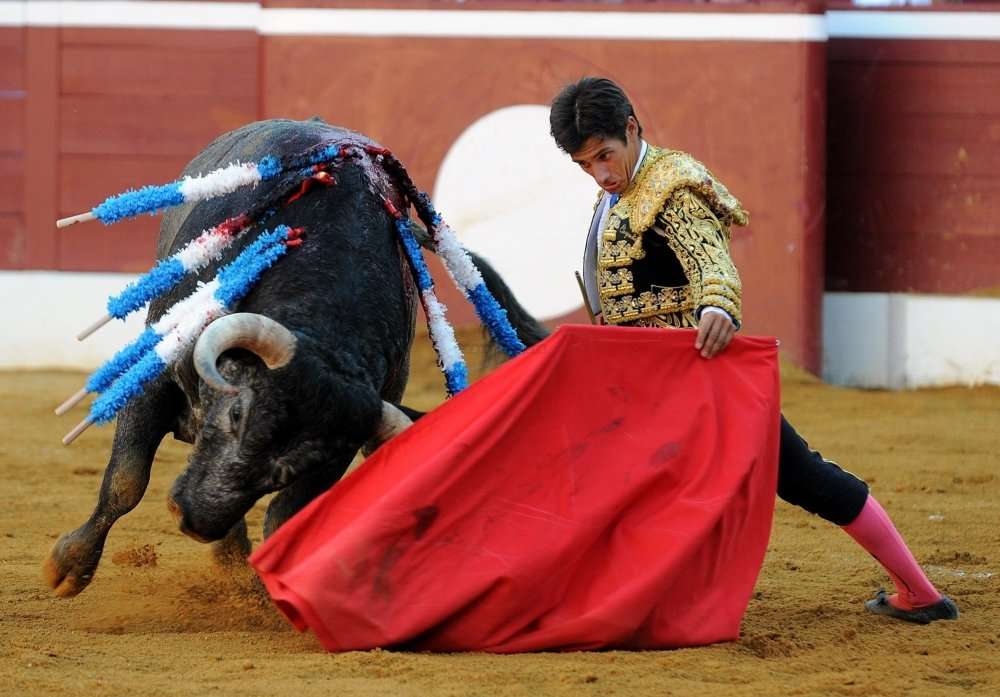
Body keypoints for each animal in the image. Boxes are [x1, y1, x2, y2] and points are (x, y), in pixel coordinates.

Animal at [45, 117, 548, 596]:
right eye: (237, 415)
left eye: (292, 466)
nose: (193, 520)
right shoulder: (154, 378)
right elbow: (126, 480)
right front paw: (68, 567)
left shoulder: (339, 447)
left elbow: (283, 519)